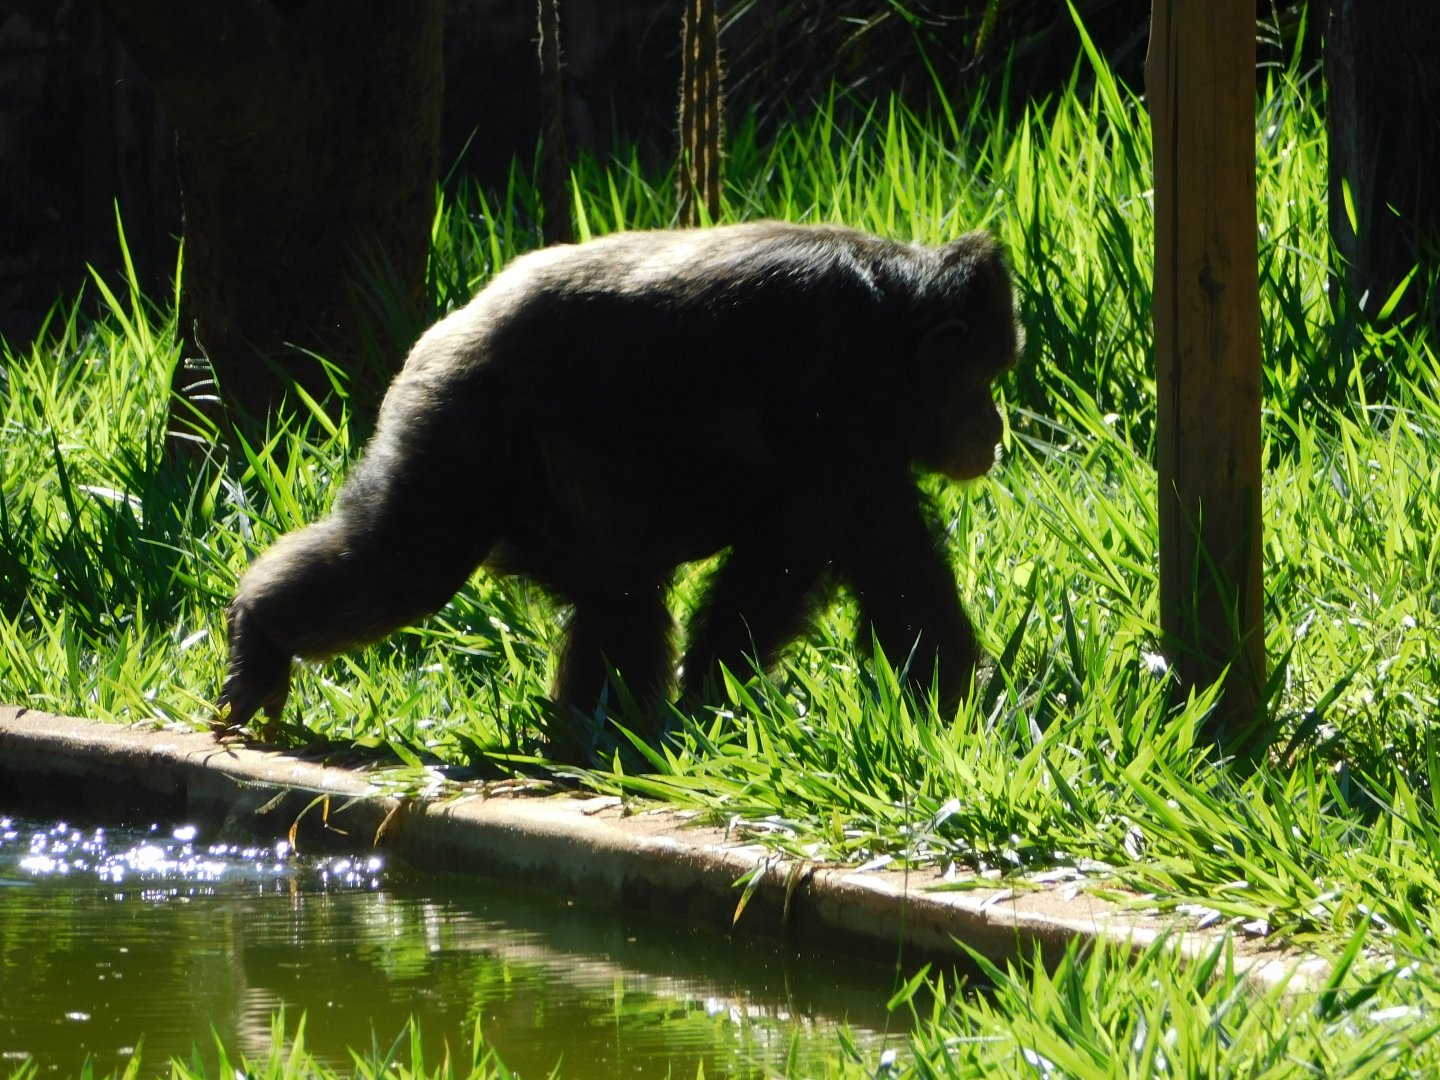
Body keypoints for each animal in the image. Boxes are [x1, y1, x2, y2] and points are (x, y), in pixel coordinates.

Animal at [217, 221, 1022, 738]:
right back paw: (262, 636)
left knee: (619, 602)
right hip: (454, 428)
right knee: (401, 564)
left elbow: (780, 559)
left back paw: (602, 733)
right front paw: (963, 705)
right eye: (984, 376)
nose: (993, 426)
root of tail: (441, 329)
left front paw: (714, 695)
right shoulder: (839, 357)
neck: (893, 315)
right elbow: (885, 549)